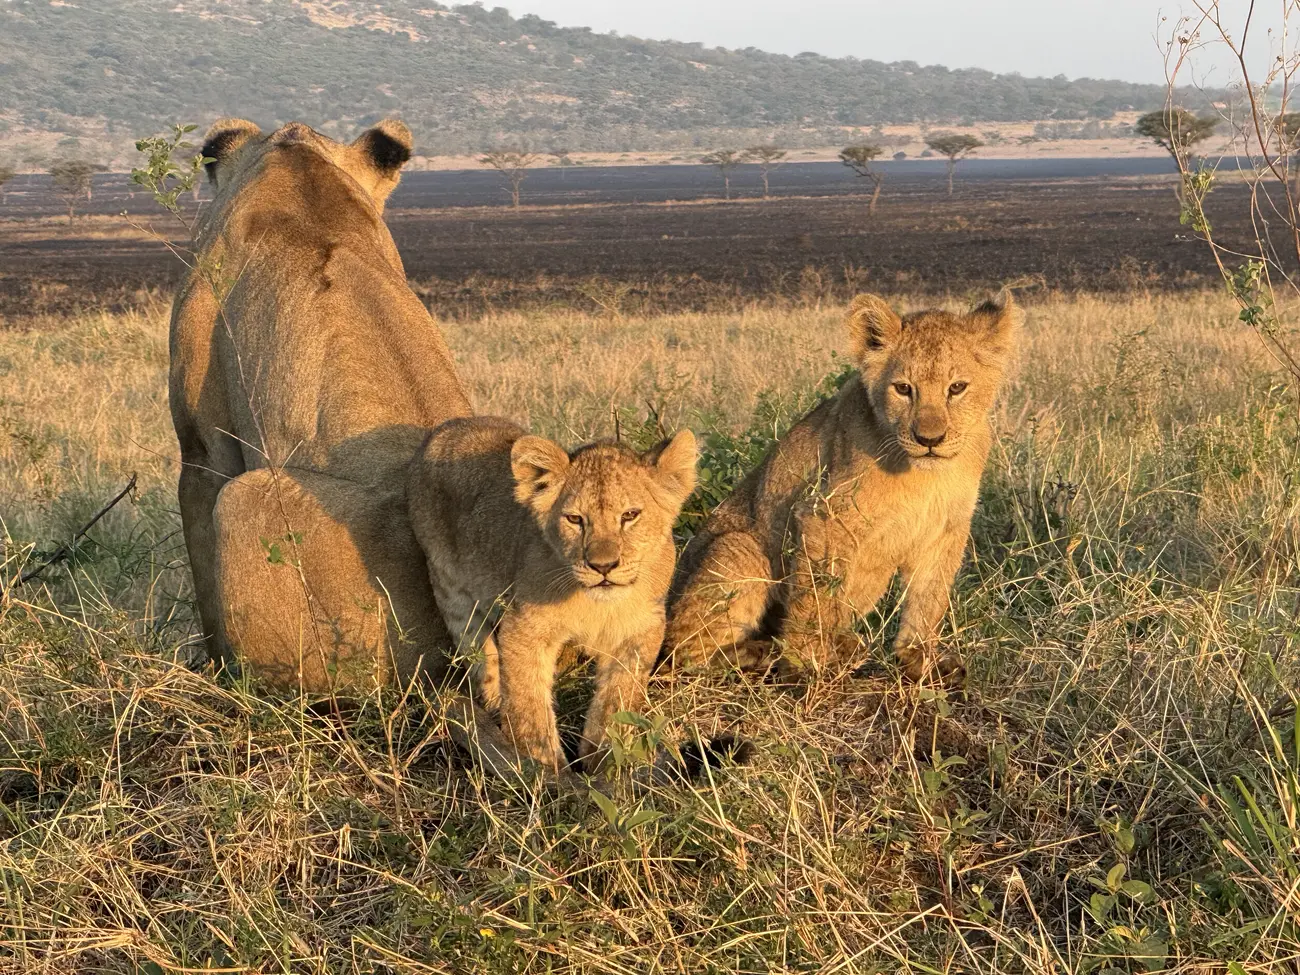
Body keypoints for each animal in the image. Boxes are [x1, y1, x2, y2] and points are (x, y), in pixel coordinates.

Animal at [407, 417, 698, 772]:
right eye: (575, 519)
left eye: (630, 515)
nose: (603, 566)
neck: (595, 604)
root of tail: (448, 427)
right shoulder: (525, 627)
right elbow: (529, 703)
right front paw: (545, 768)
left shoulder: (641, 627)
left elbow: (617, 700)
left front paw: (602, 763)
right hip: (450, 588)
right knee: (481, 655)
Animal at [662, 291, 1022, 682]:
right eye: (903, 389)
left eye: (956, 388)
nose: (929, 439)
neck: (927, 476)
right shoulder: (823, 514)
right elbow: (816, 596)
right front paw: (809, 660)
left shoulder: (945, 530)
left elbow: (929, 599)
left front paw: (920, 659)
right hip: (739, 548)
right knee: (682, 652)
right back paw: (761, 653)